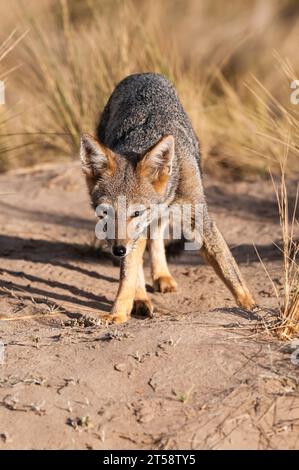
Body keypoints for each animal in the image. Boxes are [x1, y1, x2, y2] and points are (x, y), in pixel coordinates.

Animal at [80, 72, 255, 324]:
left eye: (136, 212)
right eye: (105, 213)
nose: (118, 250)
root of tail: (143, 73)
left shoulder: (199, 218)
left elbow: (228, 267)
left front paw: (250, 306)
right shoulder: (131, 237)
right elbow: (127, 275)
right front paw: (118, 313)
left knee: (156, 237)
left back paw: (161, 276)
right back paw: (141, 299)